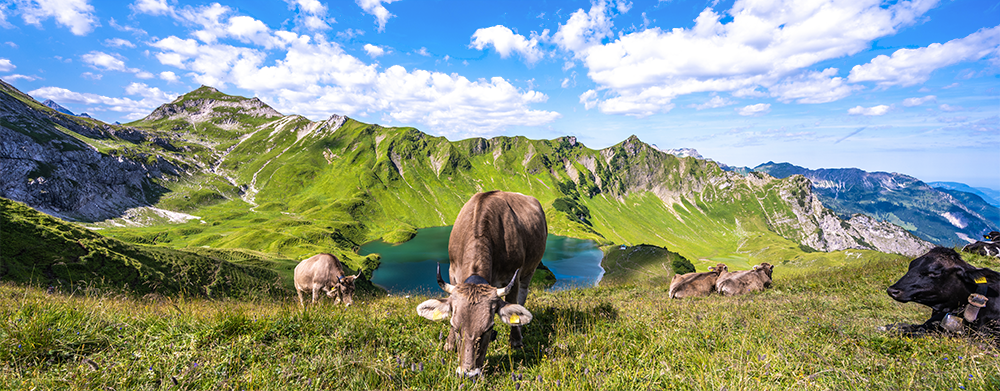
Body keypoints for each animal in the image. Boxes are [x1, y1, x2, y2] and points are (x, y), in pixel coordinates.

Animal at [414, 191, 548, 378]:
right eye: (454, 326)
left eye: (489, 328)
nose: (468, 374)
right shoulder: (452, 272)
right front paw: (449, 344)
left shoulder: (513, 276)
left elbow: (512, 301)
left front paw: (515, 341)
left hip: (530, 269)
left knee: (522, 296)